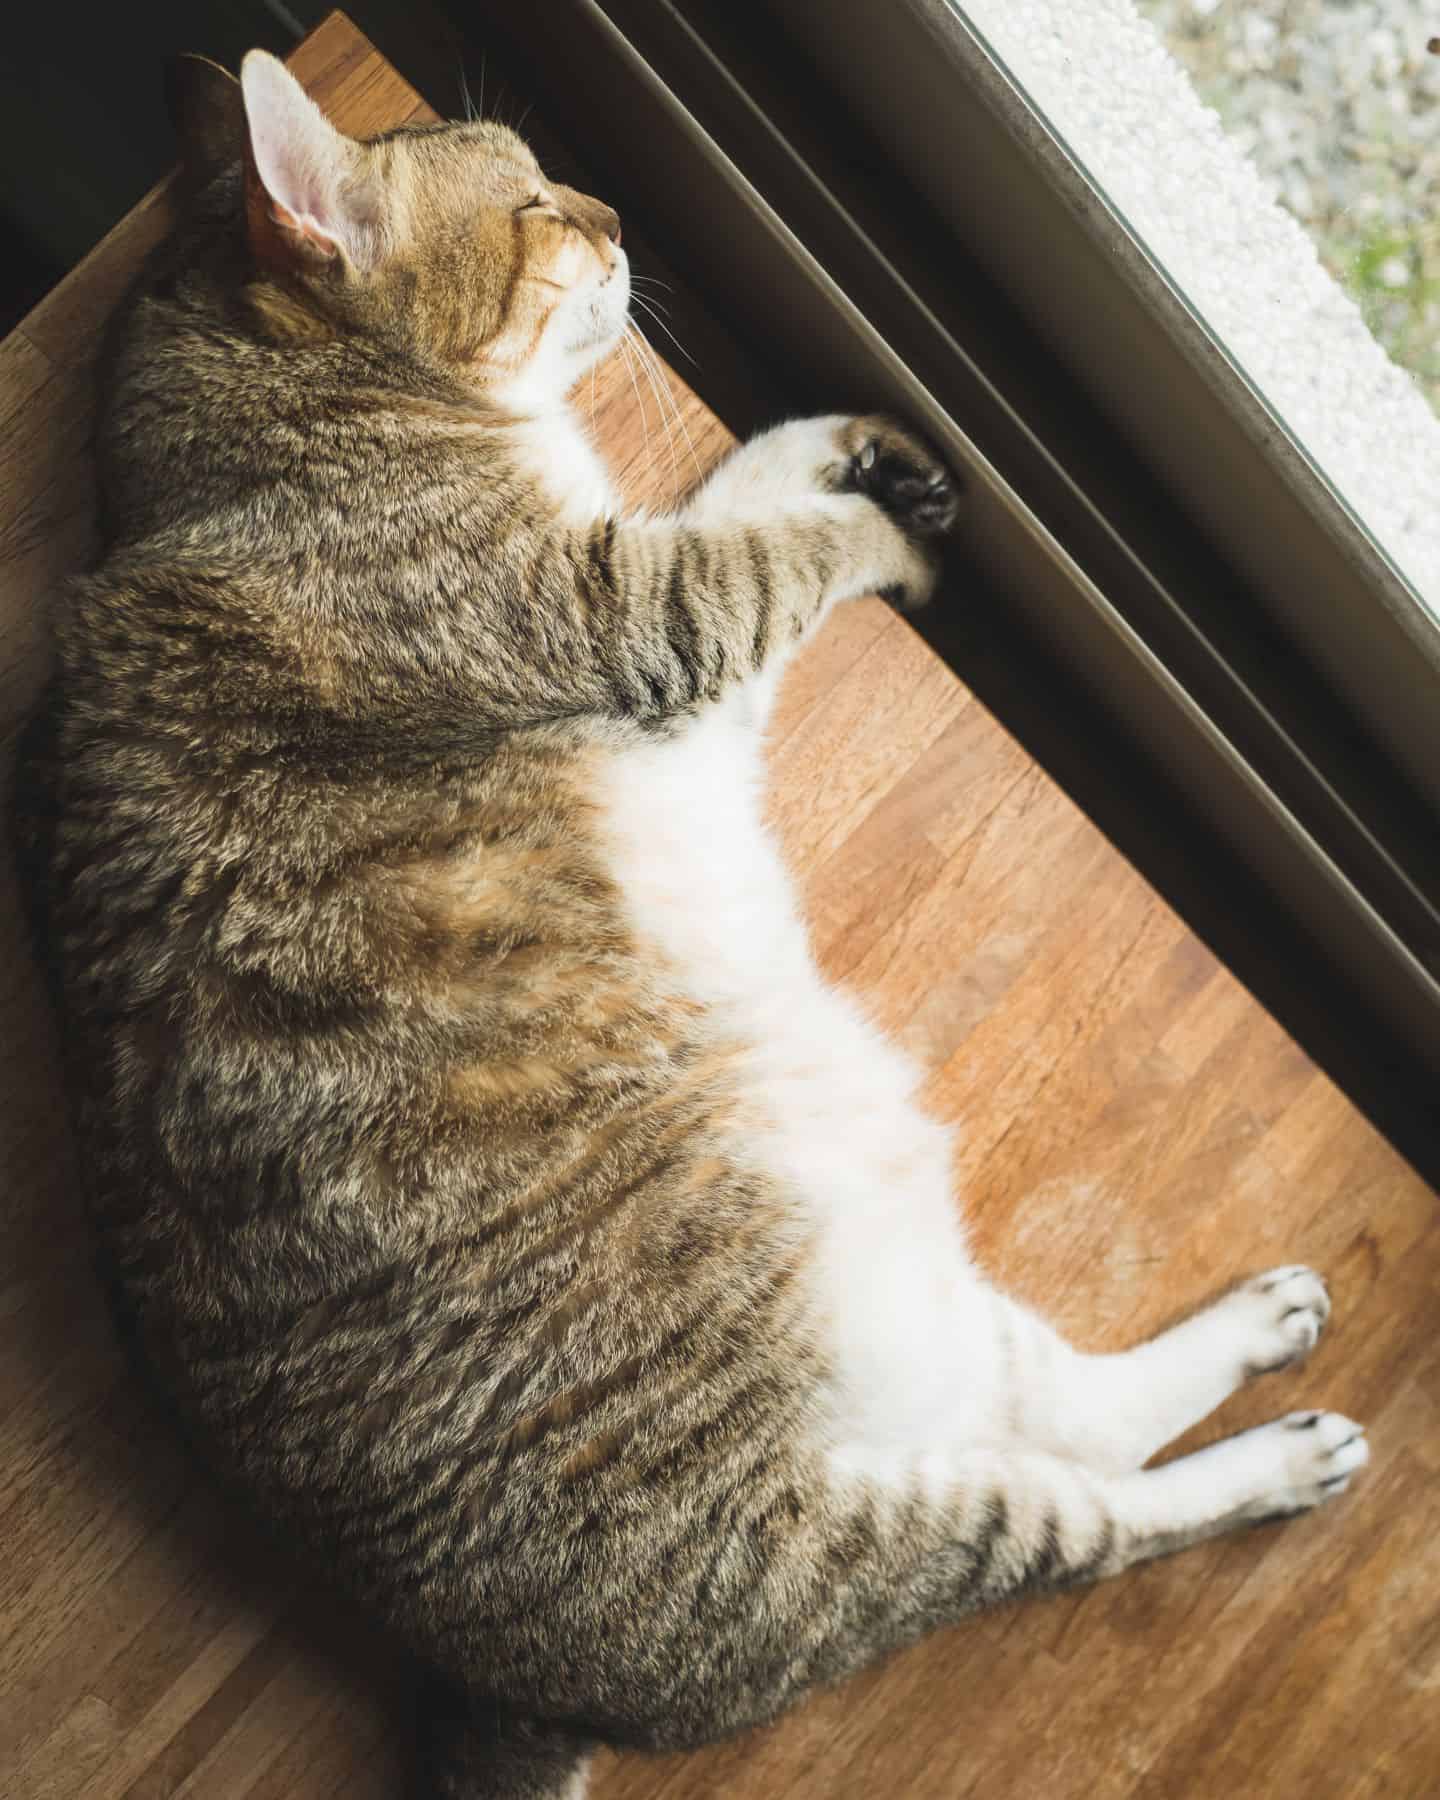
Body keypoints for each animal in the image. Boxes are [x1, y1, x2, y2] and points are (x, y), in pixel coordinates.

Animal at [19, 49, 1375, 1792]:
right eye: (537, 203)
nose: (612, 210)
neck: (244, 439)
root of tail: (494, 1684)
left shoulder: (665, 621)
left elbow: (750, 482)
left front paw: (857, 438)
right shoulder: (638, 615)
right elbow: (780, 546)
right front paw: (895, 524)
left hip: (909, 1329)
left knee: (1070, 1410)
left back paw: (1265, 1329)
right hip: (852, 1530)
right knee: (1083, 1512)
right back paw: (1283, 1451)